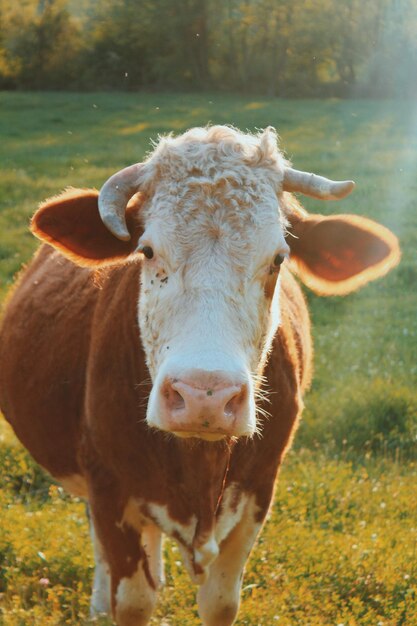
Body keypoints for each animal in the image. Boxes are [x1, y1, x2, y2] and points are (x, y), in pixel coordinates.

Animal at [0, 127, 400, 624]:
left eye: (279, 259)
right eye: (148, 250)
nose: (204, 397)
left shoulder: (259, 490)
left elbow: (220, 601)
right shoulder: (109, 487)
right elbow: (132, 599)